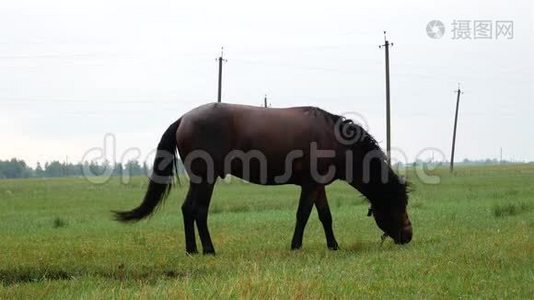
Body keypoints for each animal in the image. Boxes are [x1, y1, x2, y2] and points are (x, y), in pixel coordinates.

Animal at [115, 102, 412, 253]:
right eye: (398, 204)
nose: (408, 236)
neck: (334, 139)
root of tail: (183, 118)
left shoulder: (317, 186)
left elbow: (325, 216)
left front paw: (333, 246)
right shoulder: (310, 185)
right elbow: (303, 215)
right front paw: (295, 247)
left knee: (189, 210)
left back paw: (194, 250)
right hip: (205, 178)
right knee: (196, 210)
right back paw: (206, 250)